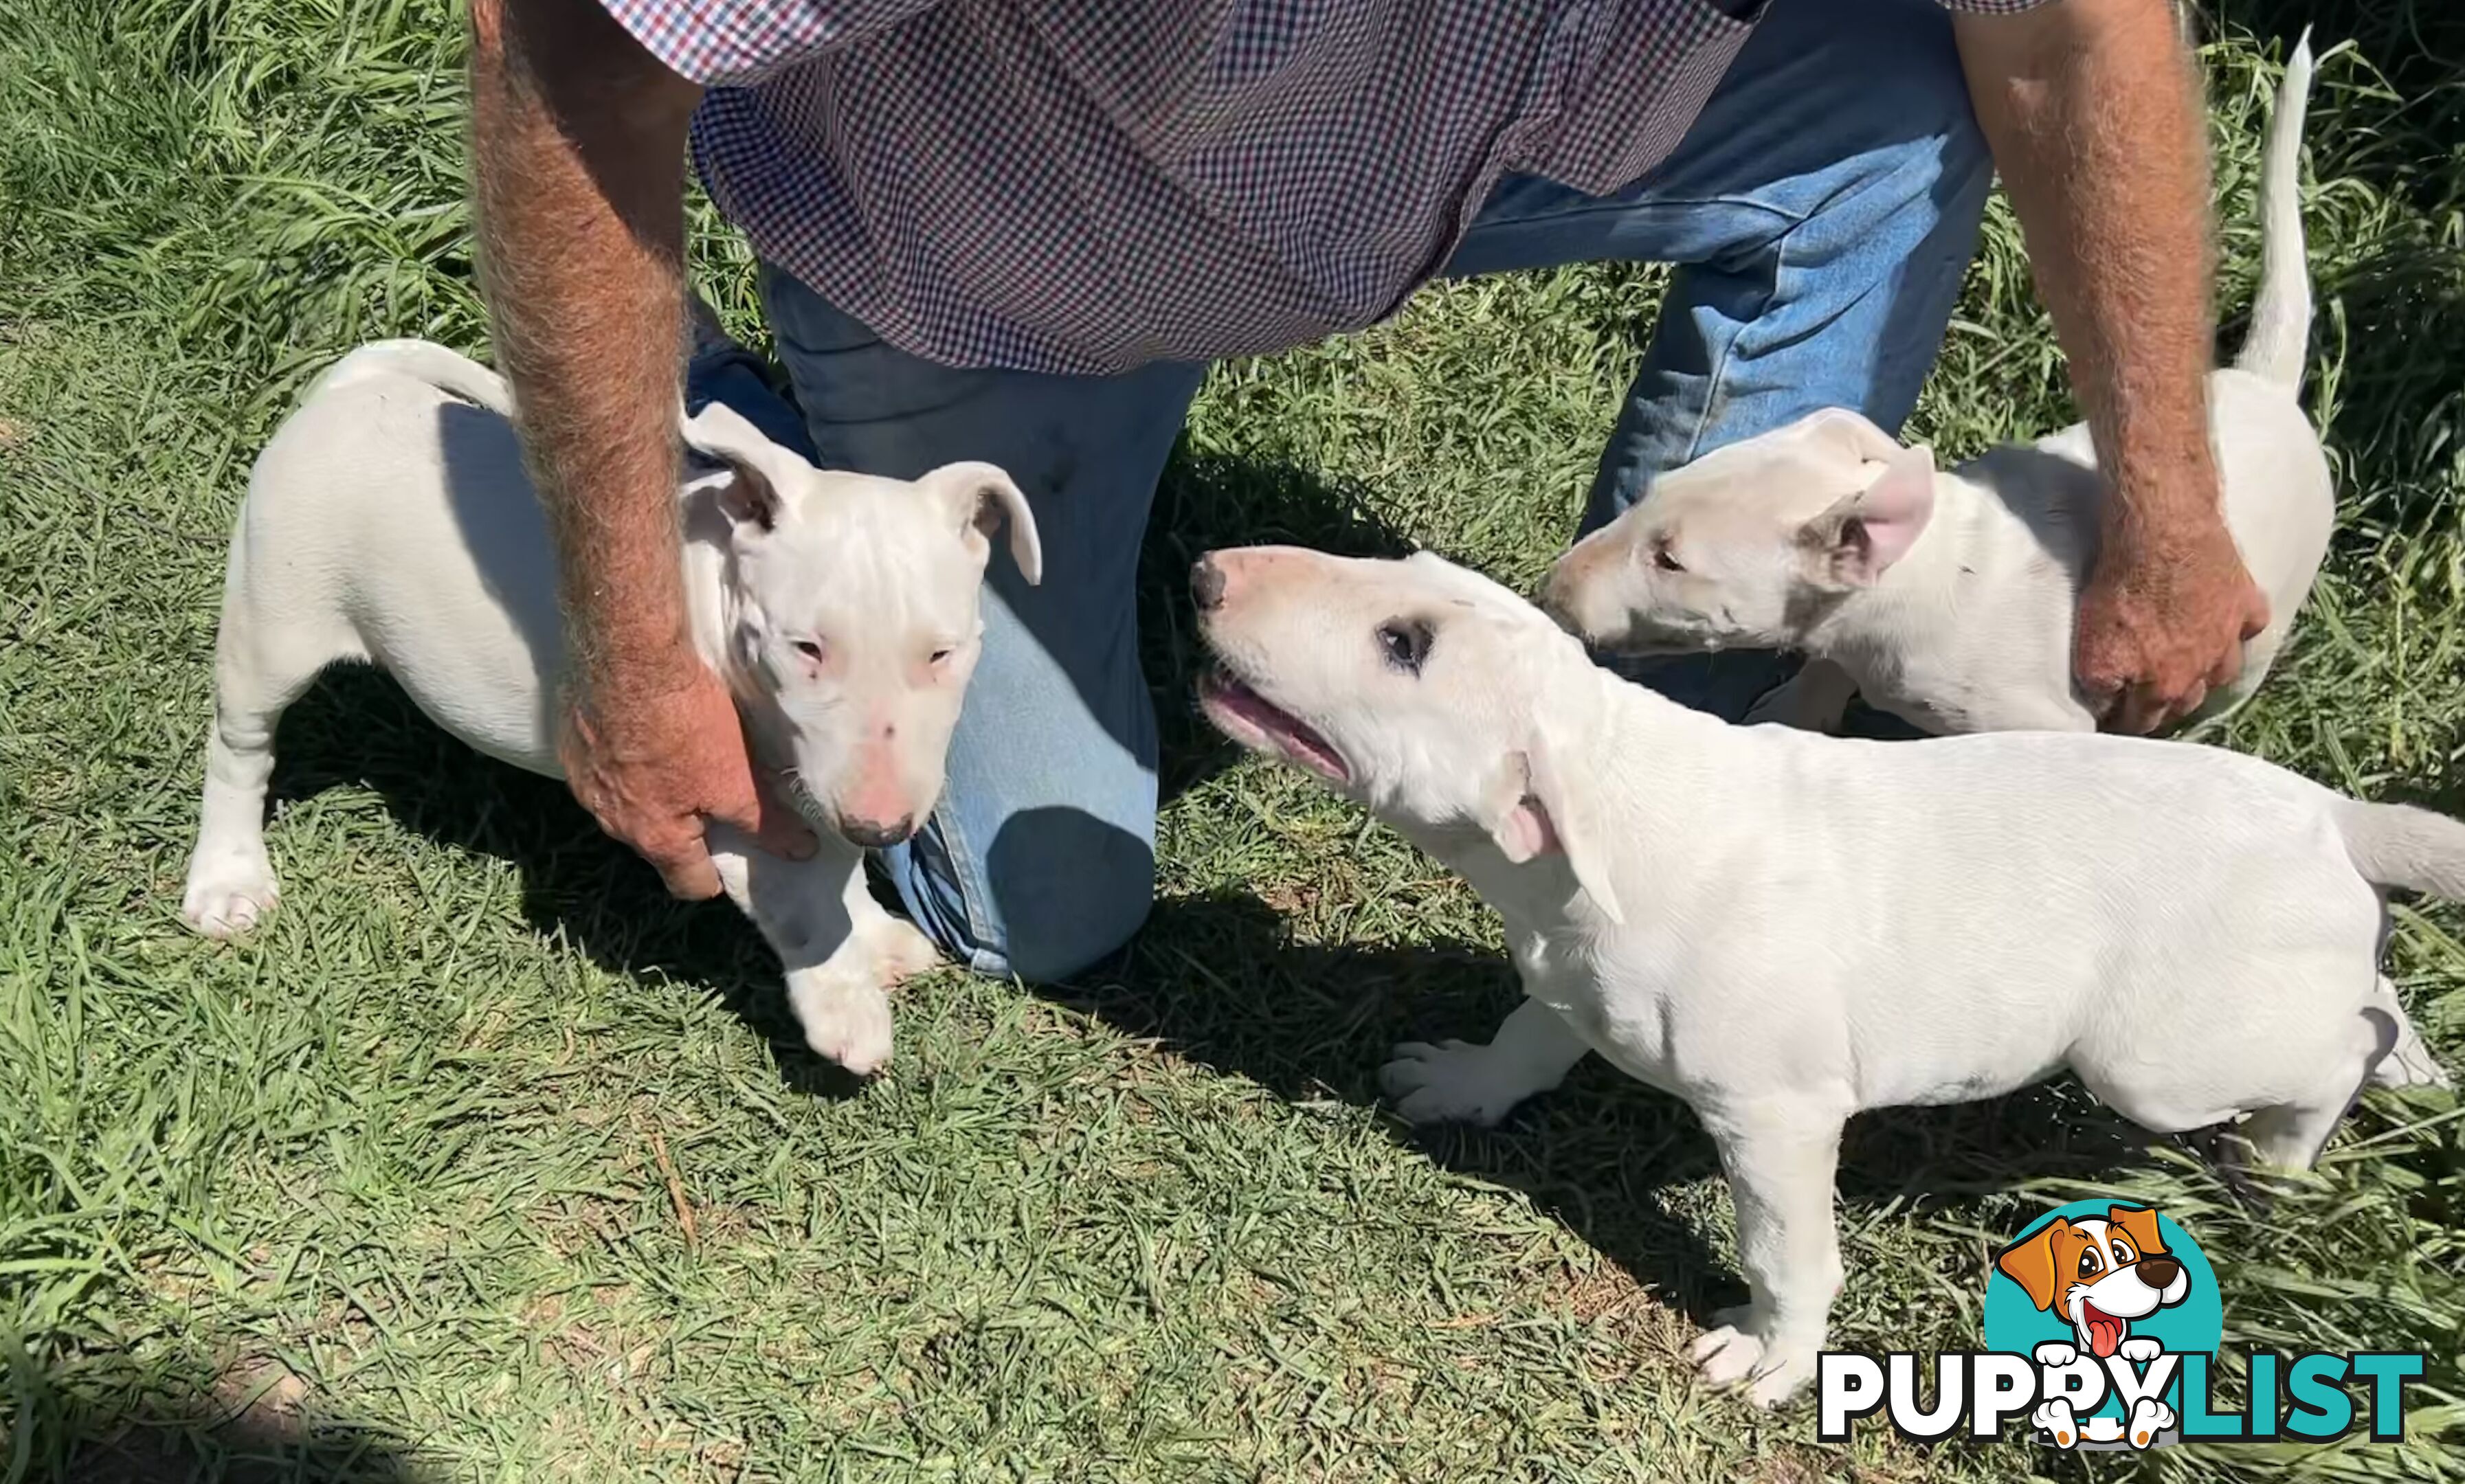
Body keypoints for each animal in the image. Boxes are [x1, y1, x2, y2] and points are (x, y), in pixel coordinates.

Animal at [185, 340, 1040, 1070]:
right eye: (805, 648)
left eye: (942, 654)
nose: (884, 825)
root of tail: (349, 387)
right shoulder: (707, 795)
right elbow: (804, 901)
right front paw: (845, 1008)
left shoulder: (812, 774)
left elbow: (835, 866)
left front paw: (876, 938)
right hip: (273, 625)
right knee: (238, 753)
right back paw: (227, 880)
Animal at [1187, 539, 2445, 1400]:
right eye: (1393, 576)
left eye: (1403, 646)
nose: (1204, 574)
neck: (1608, 810)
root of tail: (2332, 818)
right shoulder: (1569, 968)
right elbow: (1530, 1034)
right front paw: (1459, 1085)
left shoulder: (1776, 1112)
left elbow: (1785, 1249)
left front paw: (1768, 1357)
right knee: (2365, 998)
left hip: (2153, 1060)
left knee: (2334, 1050)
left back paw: (2289, 1159)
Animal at [1548, 38, 2317, 739]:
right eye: (1648, 496)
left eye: (1670, 560)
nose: (1552, 586)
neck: (1929, 568)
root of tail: (2267, 386)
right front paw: (1791, 713)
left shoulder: (2040, 720)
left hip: (2247, 647)